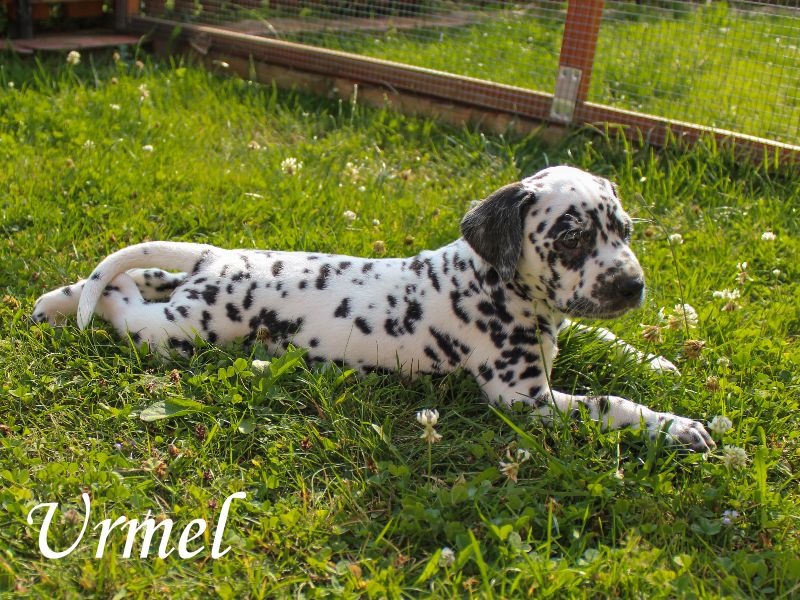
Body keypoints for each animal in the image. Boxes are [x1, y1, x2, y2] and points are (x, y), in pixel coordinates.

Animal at [32, 166, 714, 452]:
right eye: (571, 237)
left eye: (623, 230)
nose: (633, 287)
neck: (494, 281)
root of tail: (217, 254)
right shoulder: (524, 400)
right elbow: (606, 403)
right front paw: (674, 426)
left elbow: (607, 341)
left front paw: (660, 363)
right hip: (183, 331)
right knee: (123, 304)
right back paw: (81, 303)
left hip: (182, 295)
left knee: (145, 275)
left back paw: (62, 299)